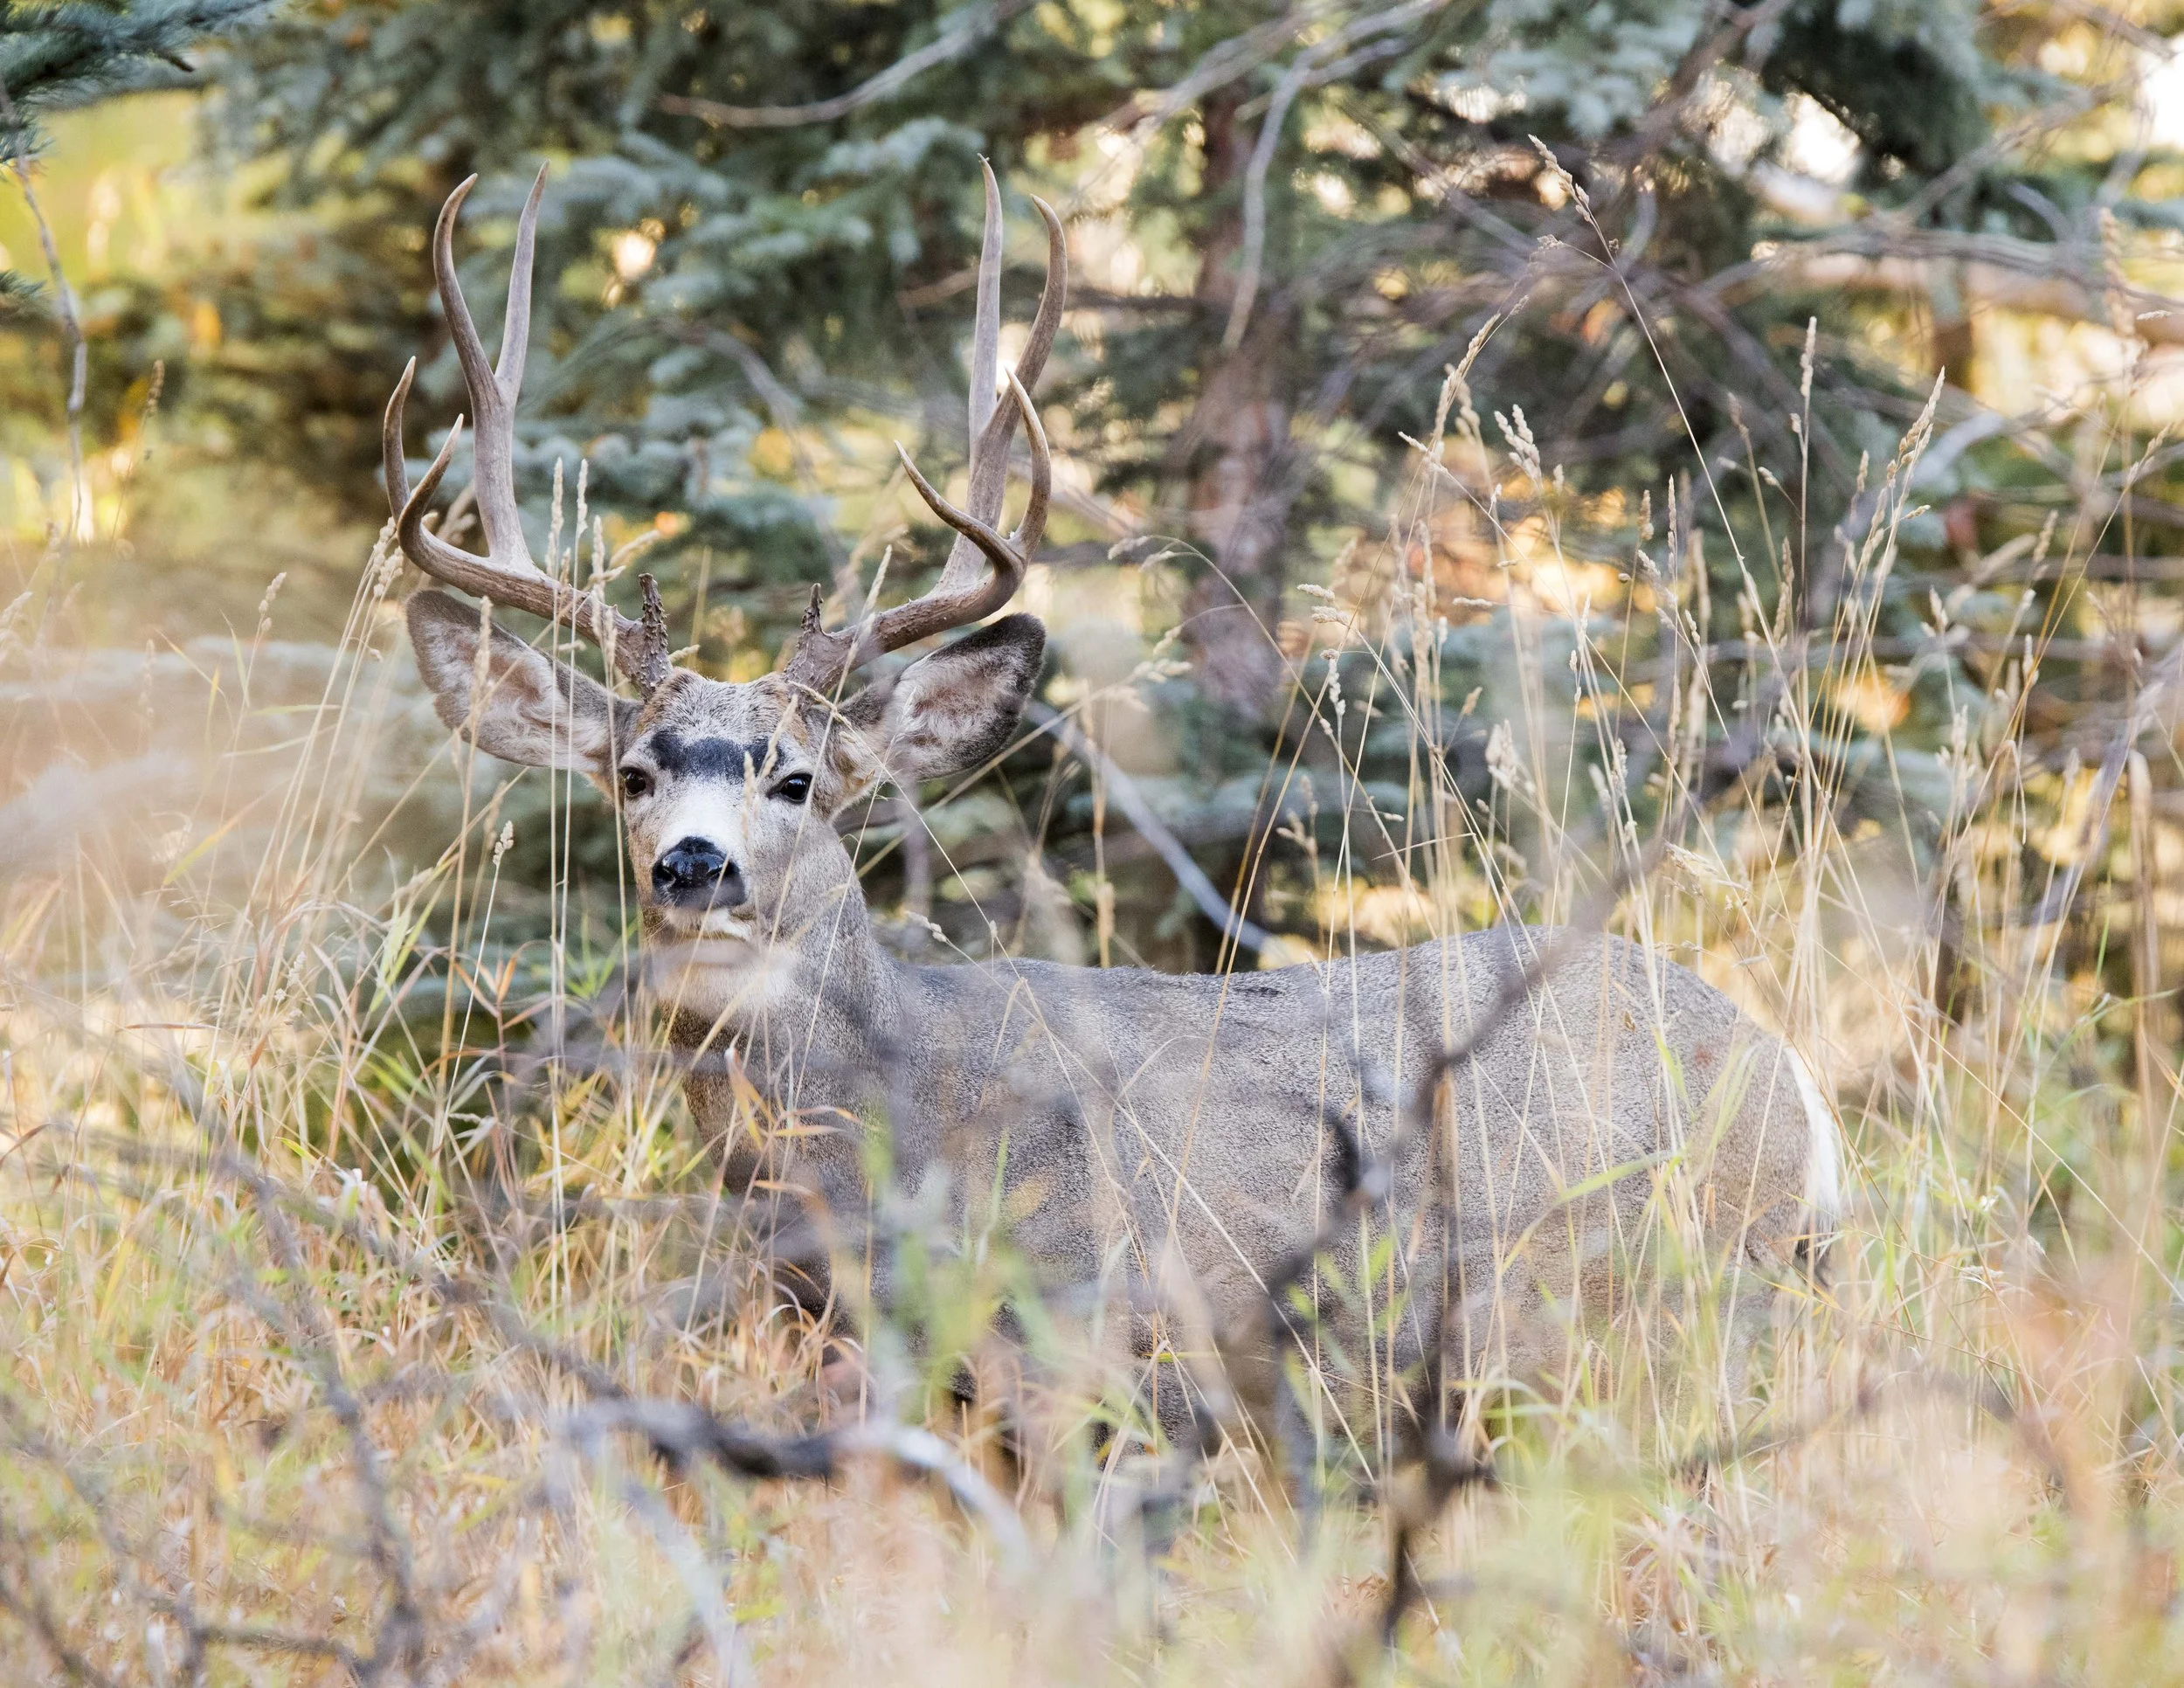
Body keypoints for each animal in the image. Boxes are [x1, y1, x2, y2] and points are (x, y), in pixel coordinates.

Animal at [382, 164, 1843, 1471]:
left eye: (796, 778)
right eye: (631, 773)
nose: (695, 866)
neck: (895, 1135)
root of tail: (1799, 1082)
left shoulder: (1118, 1342)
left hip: (1697, 1298)